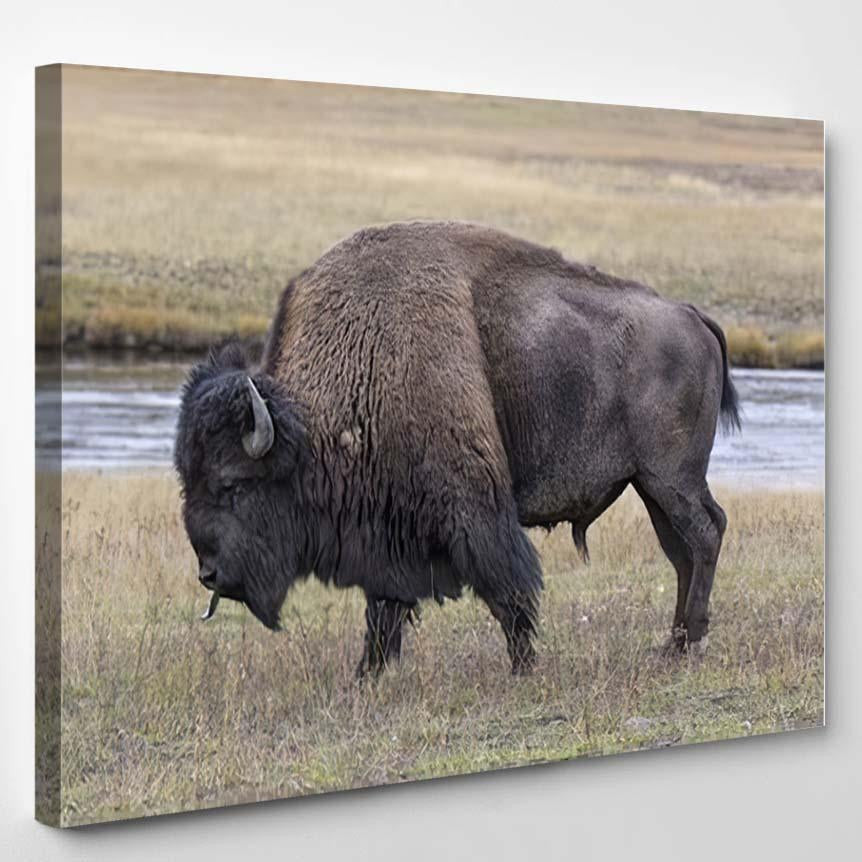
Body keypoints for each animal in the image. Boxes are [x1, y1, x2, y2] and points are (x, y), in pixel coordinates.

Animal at [174, 220, 739, 675]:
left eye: (231, 484)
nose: (208, 573)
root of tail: (692, 315)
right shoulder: (388, 530)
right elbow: (384, 608)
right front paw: (367, 674)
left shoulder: (471, 509)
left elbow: (506, 590)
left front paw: (523, 667)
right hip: (650, 486)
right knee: (681, 552)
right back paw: (674, 645)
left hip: (671, 478)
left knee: (705, 534)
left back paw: (691, 639)